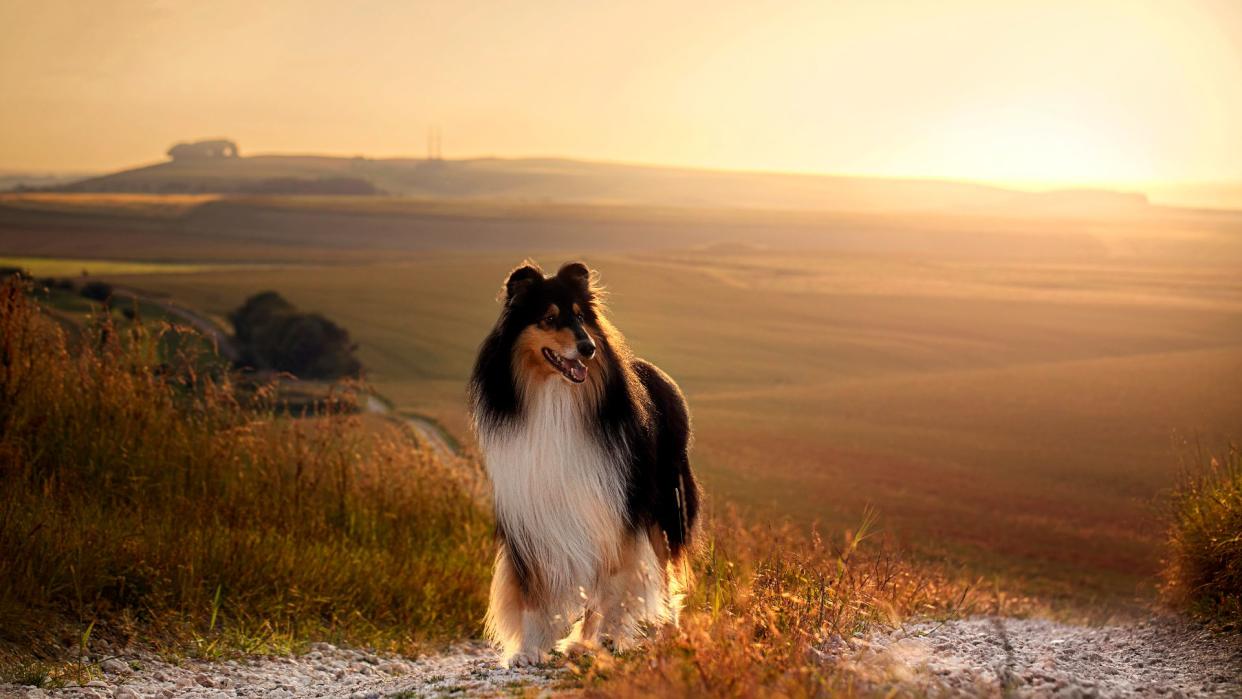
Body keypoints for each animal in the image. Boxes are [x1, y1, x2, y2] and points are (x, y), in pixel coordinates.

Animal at [466, 259, 700, 665]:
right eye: (549, 318)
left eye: (579, 316)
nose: (588, 348)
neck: (555, 398)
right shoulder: (530, 518)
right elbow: (533, 592)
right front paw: (528, 649)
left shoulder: (614, 511)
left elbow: (612, 586)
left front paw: (599, 639)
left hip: (665, 507)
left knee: (666, 570)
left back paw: (663, 630)